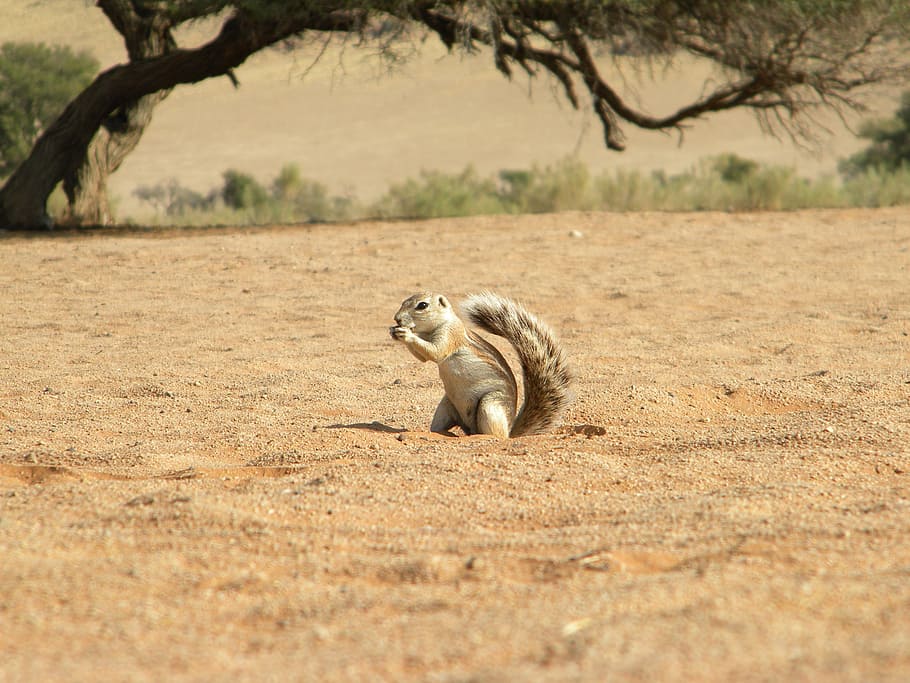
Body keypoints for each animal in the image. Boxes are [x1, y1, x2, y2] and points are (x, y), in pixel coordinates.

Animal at [389, 291, 571, 438]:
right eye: (403, 301)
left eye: (422, 305)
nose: (397, 319)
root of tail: (510, 431)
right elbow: (422, 357)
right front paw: (394, 331)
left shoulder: (450, 334)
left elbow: (435, 352)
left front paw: (406, 334)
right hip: (445, 407)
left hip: (489, 404)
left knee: (495, 434)